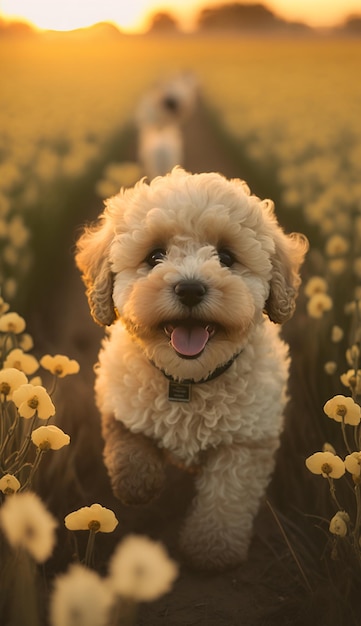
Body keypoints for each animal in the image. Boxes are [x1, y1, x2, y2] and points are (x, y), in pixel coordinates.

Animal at [76, 168, 306, 568]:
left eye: (226, 257)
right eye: (155, 256)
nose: (190, 288)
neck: (188, 380)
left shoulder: (245, 442)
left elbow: (227, 498)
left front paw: (211, 551)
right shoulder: (117, 397)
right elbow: (128, 442)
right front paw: (136, 485)